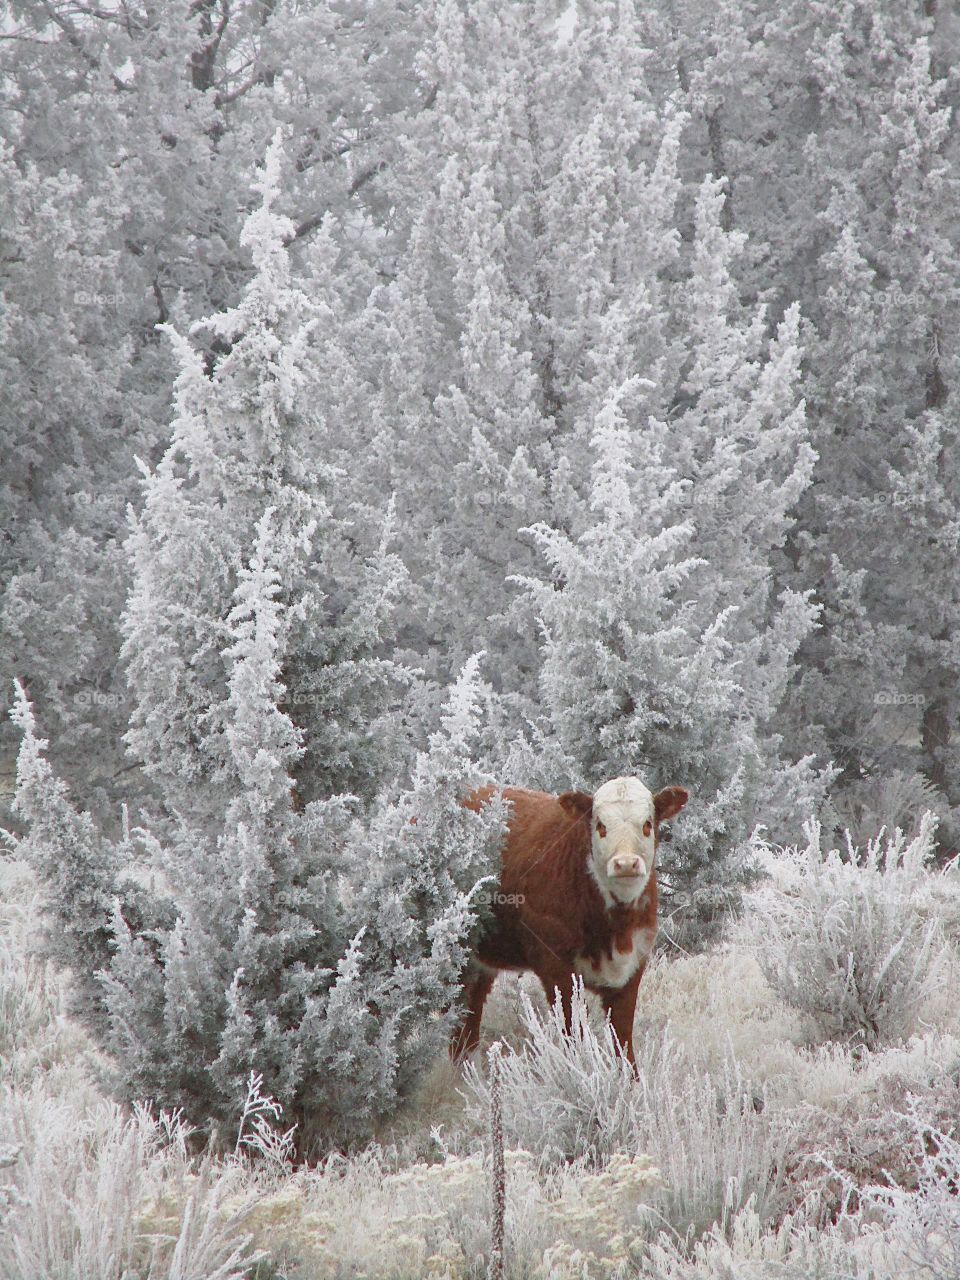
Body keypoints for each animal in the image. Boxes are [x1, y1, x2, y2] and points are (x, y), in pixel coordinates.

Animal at [455, 773, 686, 1064]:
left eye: (647, 824)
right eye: (600, 826)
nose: (625, 863)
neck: (615, 929)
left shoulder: (633, 965)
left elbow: (623, 1045)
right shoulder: (556, 966)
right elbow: (575, 1036)